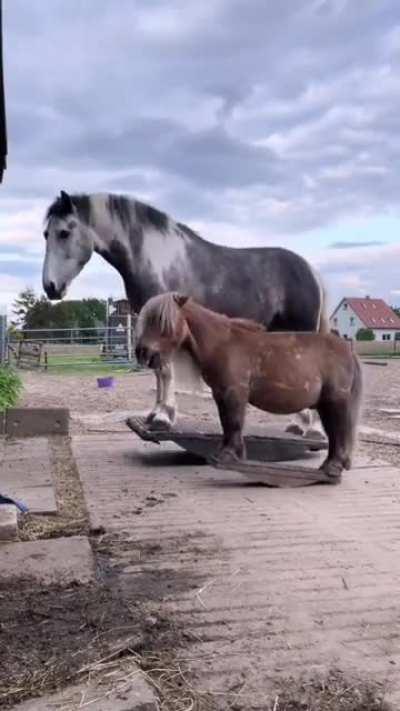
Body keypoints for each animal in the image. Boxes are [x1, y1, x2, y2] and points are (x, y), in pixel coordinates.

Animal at [42, 190, 327, 433]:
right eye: (46, 234)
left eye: (64, 233)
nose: (51, 287)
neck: (156, 259)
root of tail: (310, 270)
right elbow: (157, 371)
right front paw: (155, 414)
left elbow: (166, 370)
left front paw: (163, 417)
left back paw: (306, 427)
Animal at [135, 293, 362, 479]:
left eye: (162, 321)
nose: (141, 352)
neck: (223, 344)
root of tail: (348, 350)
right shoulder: (221, 394)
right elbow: (227, 424)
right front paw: (228, 453)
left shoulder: (235, 393)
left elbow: (234, 423)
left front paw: (228, 456)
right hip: (325, 404)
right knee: (333, 434)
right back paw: (328, 466)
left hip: (336, 401)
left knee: (339, 431)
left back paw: (333, 467)